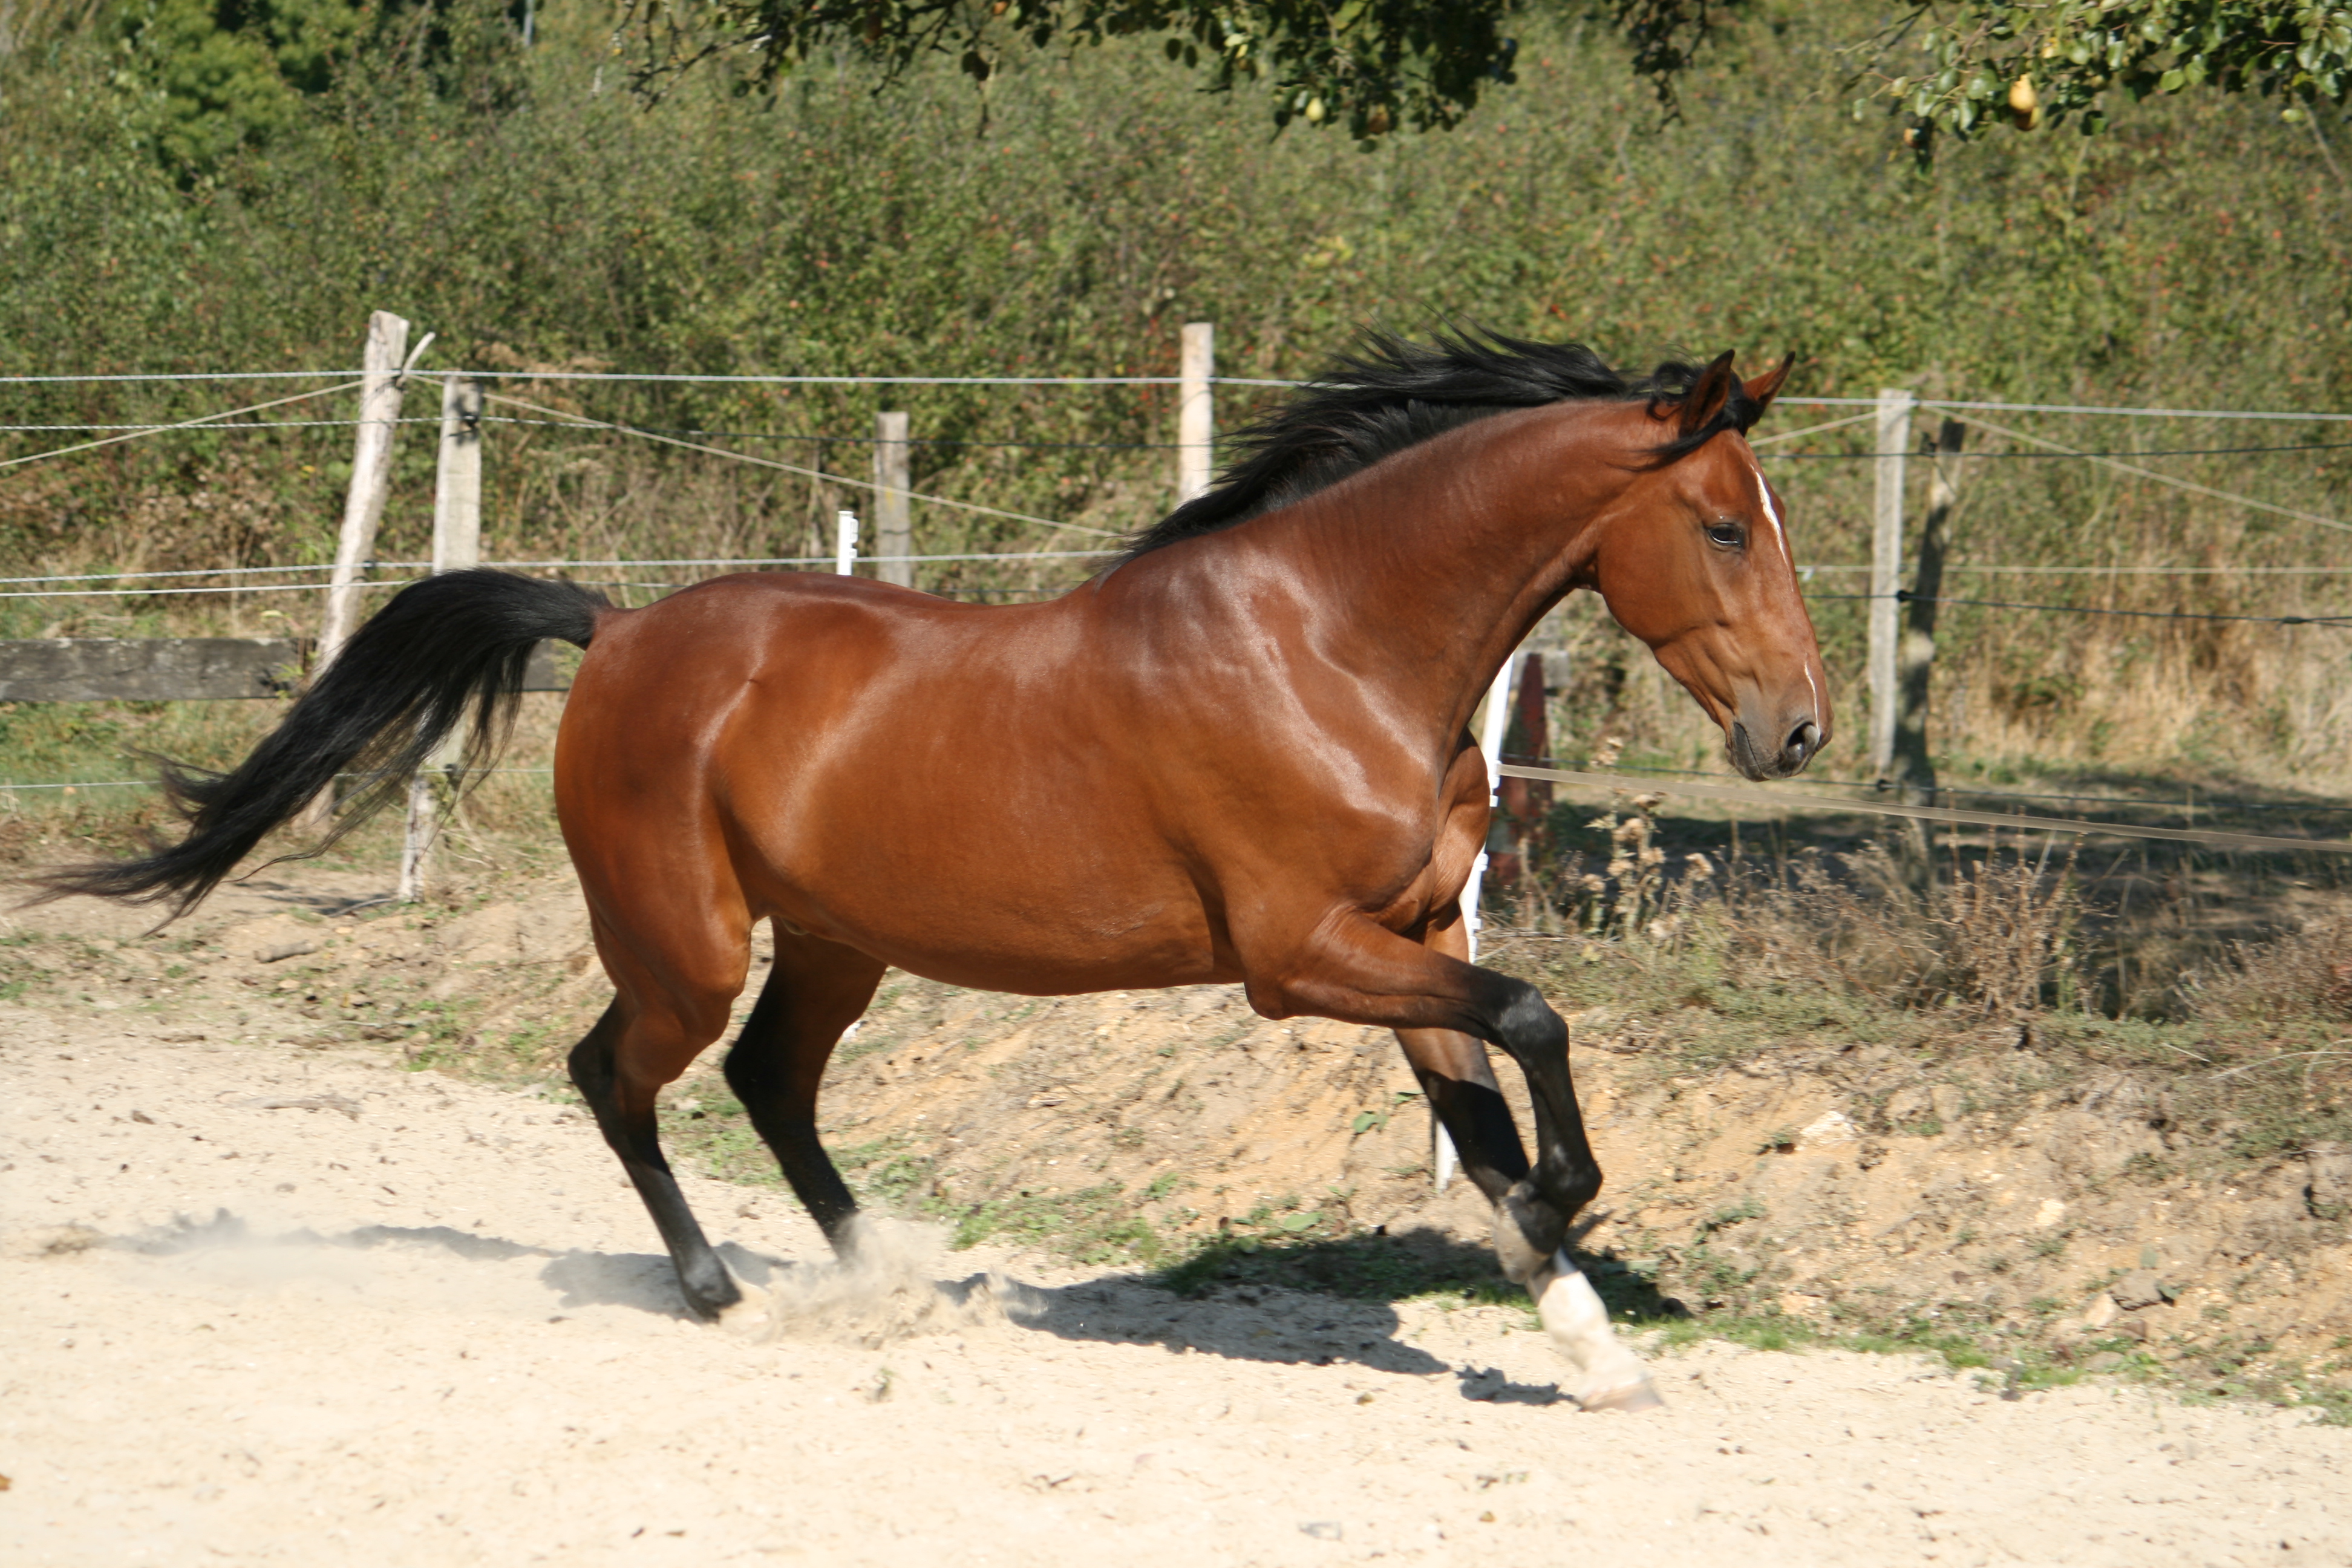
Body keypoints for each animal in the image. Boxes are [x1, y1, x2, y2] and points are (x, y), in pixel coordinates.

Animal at [37, 332, 1826, 1411]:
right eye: (1725, 526)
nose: (1799, 730)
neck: (1334, 643)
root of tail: (615, 631)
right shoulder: (1298, 953)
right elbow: (1531, 1025)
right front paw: (1571, 1209)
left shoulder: (1396, 934)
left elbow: (1480, 1090)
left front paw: (1583, 1334)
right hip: (687, 941)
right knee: (619, 1075)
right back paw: (724, 1296)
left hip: (839, 943)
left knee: (768, 1082)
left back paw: (885, 1275)